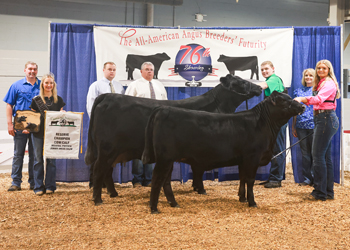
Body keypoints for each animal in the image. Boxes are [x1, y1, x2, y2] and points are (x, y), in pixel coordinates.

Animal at [85, 74, 262, 205]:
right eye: (241, 81)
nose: (260, 87)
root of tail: (107, 96)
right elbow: (198, 170)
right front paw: (201, 189)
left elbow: (196, 169)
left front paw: (196, 188)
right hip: (107, 148)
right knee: (99, 169)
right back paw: (98, 199)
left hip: (112, 151)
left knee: (106, 170)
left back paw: (112, 193)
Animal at [142, 91, 306, 213]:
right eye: (284, 101)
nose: (302, 106)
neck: (262, 123)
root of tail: (162, 109)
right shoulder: (252, 157)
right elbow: (250, 180)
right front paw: (252, 202)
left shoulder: (243, 159)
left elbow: (242, 178)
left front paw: (242, 198)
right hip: (164, 158)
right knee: (157, 179)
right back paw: (154, 208)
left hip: (169, 159)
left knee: (165, 181)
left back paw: (173, 203)